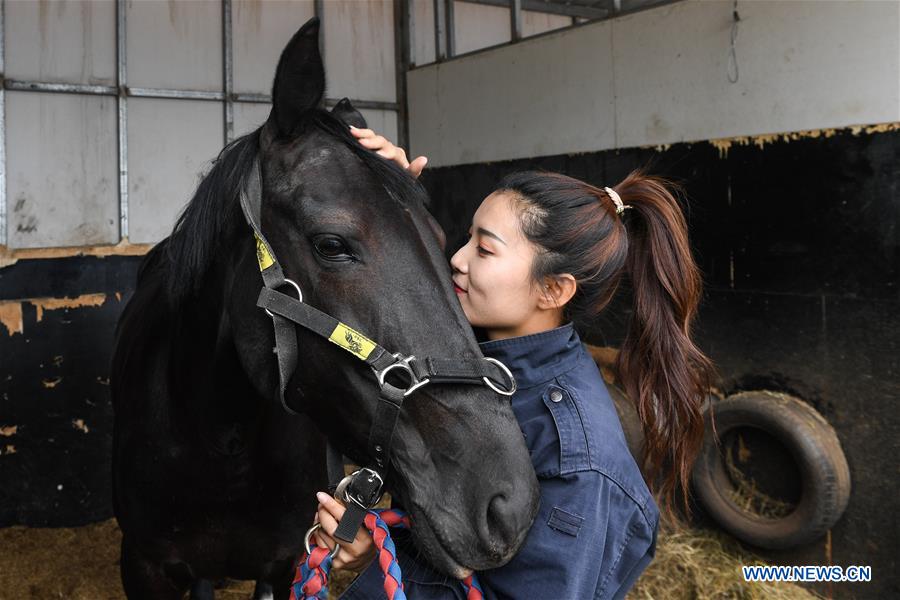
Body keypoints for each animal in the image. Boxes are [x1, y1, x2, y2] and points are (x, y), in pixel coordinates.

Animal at [109, 18, 536, 600]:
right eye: (331, 244)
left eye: (439, 235)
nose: (508, 503)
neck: (218, 443)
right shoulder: (145, 566)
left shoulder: (282, 563)